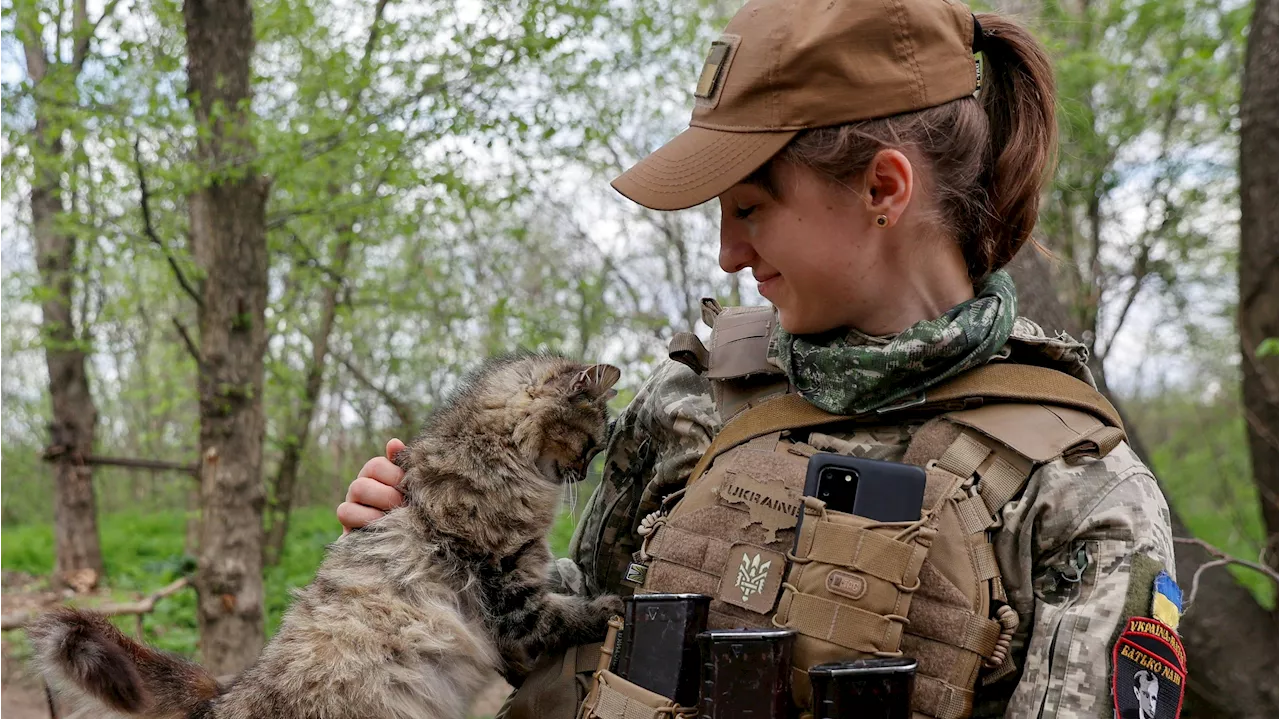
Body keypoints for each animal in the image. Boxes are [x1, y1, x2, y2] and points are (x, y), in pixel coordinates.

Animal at [27, 353, 627, 716]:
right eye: (590, 443)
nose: (585, 472)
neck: (492, 455)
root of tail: (224, 695)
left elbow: (556, 589)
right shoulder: (505, 589)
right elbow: (559, 614)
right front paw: (610, 606)